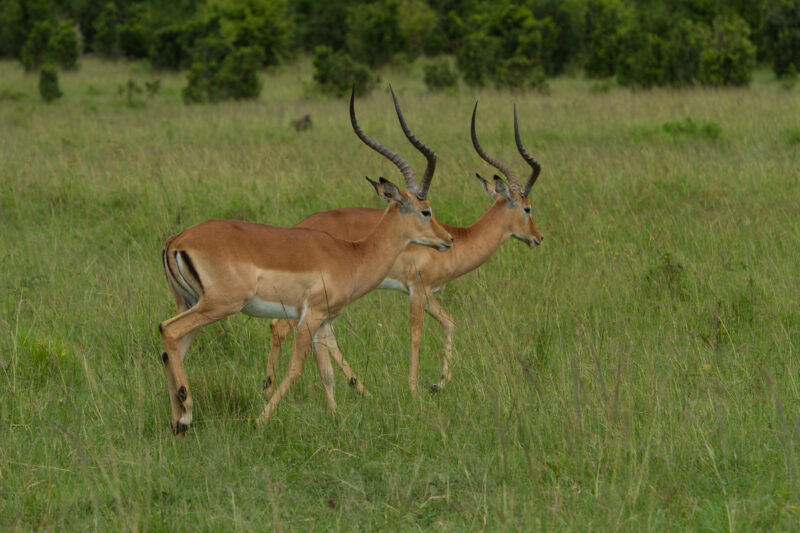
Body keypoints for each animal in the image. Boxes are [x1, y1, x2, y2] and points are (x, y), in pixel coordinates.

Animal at [158, 89, 453, 434]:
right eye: (426, 211)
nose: (449, 239)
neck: (351, 255)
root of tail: (177, 239)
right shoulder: (309, 316)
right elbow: (296, 368)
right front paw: (260, 420)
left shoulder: (324, 322)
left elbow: (327, 374)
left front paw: (335, 419)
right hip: (218, 305)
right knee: (167, 330)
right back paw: (186, 416)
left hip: (190, 302)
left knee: (170, 351)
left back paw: (177, 421)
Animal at [268, 101, 543, 397]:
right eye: (527, 208)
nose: (538, 237)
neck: (458, 239)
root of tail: (299, 228)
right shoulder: (417, 290)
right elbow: (416, 335)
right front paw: (414, 390)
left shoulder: (430, 293)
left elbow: (449, 323)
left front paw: (438, 384)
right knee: (280, 326)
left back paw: (358, 388)